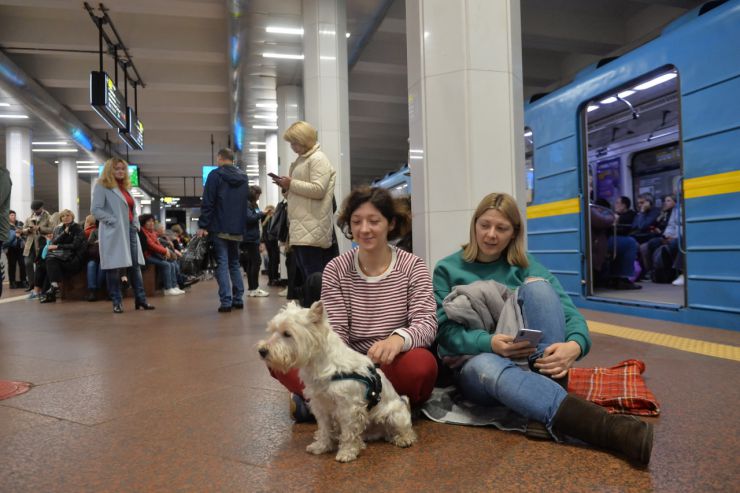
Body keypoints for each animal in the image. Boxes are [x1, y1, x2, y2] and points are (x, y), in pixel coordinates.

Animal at [258, 300, 416, 462]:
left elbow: (348, 433)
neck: (321, 365)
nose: (262, 351)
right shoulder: (320, 405)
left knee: (405, 430)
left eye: (287, 334)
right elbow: (325, 428)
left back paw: (403, 439)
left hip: (395, 415)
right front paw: (321, 446)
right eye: (272, 330)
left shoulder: (348, 408)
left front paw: (347, 452)